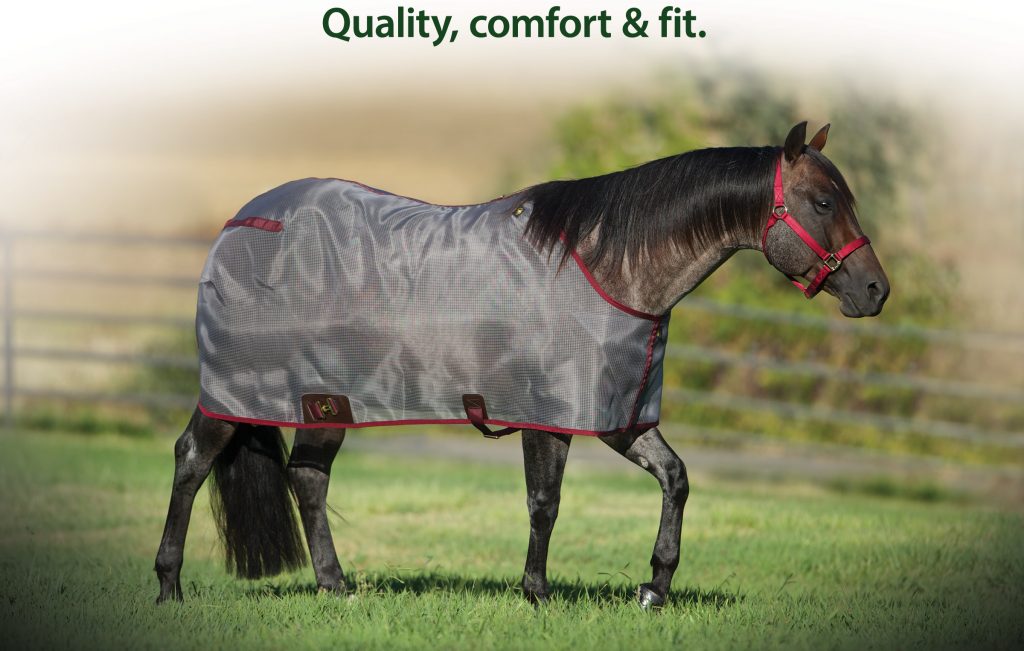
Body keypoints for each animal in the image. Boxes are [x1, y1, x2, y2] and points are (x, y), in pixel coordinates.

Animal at [154, 122, 889, 608]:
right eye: (823, 202)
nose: (876, 290)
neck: (608, 266)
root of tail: (240, 223)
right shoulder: (549, 412)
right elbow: (545, 502)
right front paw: (534, 594)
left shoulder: (620, 414)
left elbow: (675, 479)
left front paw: (655, 585)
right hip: (239, 394)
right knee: (192, 460)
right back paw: (169, 586)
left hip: (326, 399)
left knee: (308, 478)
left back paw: (337, 588)